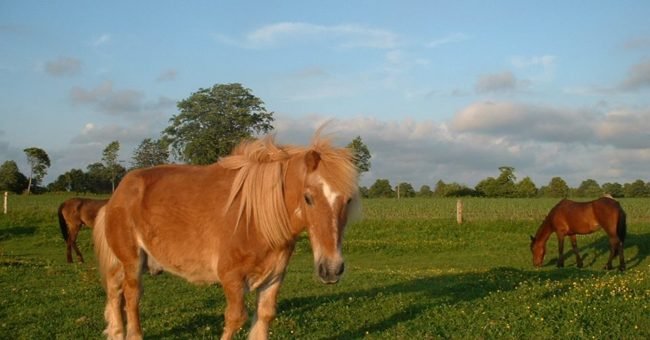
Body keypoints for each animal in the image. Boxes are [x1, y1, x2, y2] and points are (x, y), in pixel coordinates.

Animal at [92, 132, 360, 340]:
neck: (255, 217)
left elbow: (265, 316)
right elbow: (235, 318)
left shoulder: (274, 277)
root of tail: (117, 195)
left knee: (116, 294)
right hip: (132, 261)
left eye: (348, 200)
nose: (331, 269)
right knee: (131, 297)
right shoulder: (231, 278)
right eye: (308, 198)